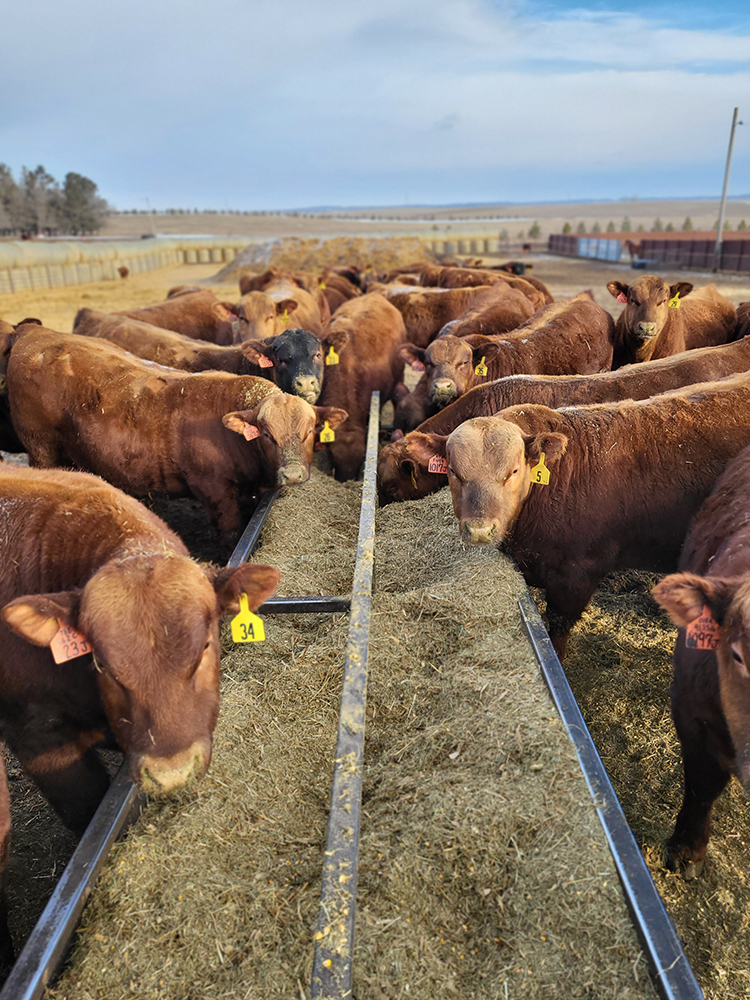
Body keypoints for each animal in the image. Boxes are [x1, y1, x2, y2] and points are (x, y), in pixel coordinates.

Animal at [4, 326, 350, 548]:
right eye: (267, 434)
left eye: (309, 431)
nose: (292, 474)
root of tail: (32, 333)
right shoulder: (215, 491)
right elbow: (230, 534)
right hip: (41, 447)